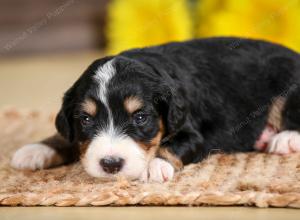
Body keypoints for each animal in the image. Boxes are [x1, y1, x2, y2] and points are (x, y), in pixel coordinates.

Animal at [11, 37, 300, 182]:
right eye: (85, 119)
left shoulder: (193, 133)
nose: (111, 164)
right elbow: (66, 136)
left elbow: (171, 146)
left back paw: (285, 138)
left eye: (140, 118)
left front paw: (153, 166)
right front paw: (36, 149)